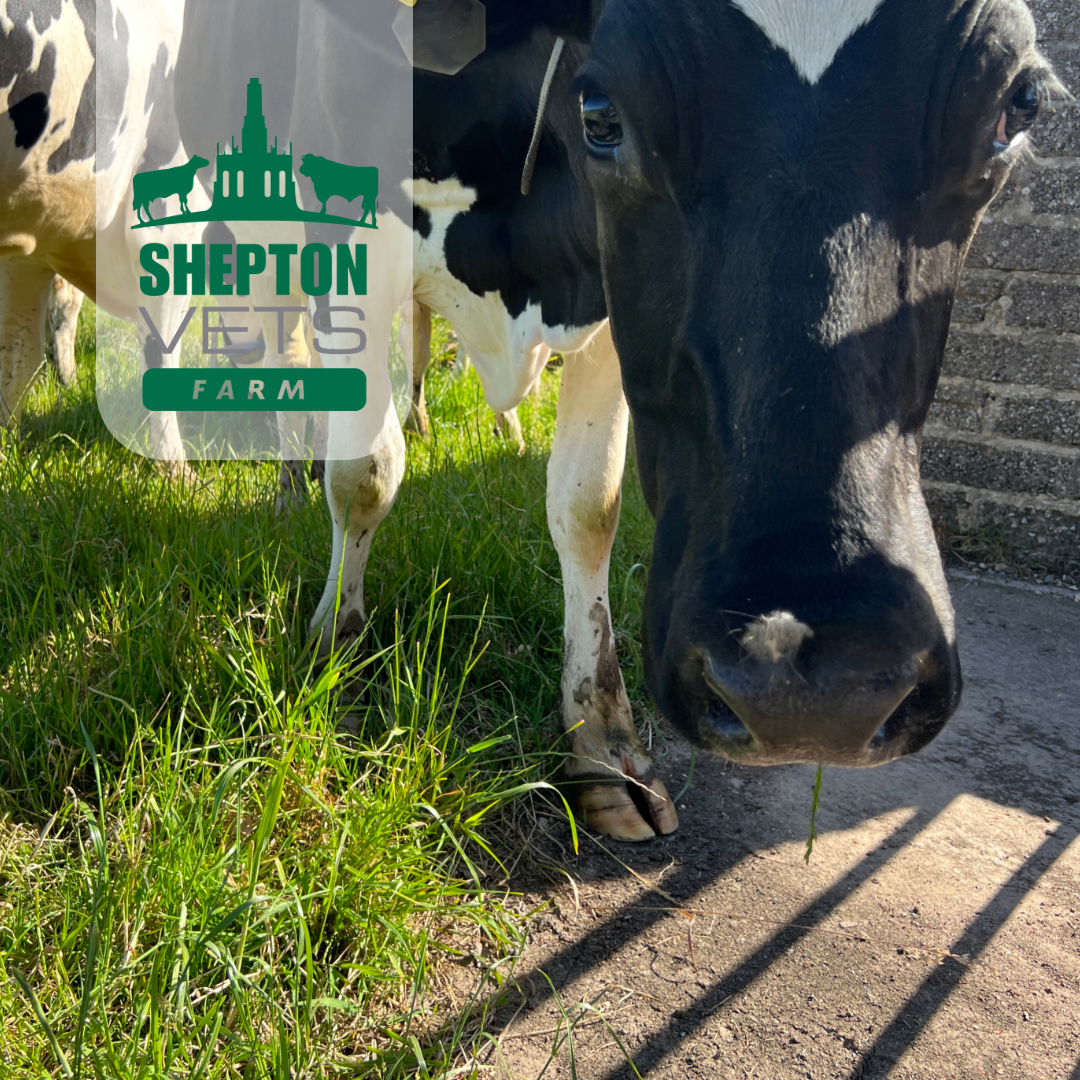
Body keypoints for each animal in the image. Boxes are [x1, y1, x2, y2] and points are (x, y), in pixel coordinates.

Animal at [172, 0, 1060, 842]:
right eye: (600, 113)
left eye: (1019, 105)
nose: (821, 691)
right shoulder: (350, 221)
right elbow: (366, 474)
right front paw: (336, 657)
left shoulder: (603, 300)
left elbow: (587, 506)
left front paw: (600, 744)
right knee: (283, 342)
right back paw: (288, 483)